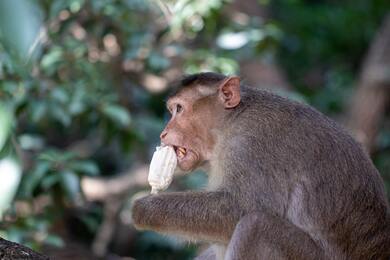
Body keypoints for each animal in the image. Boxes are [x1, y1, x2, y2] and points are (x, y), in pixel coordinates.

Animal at [132, 72, 390, 258]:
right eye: (172, 110)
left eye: (179, 109)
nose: (164, 133)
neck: (231, 121)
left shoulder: (251, 145)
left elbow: (242, 207)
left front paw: (143, 208)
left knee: (255, 226)